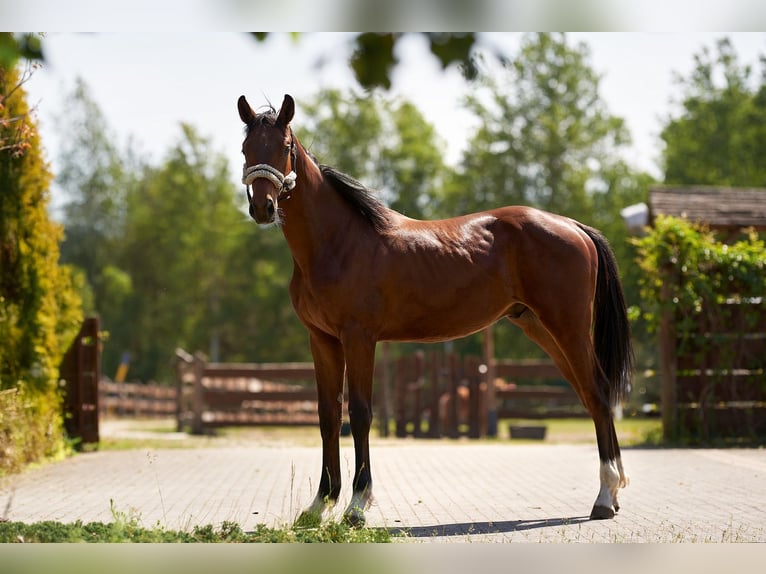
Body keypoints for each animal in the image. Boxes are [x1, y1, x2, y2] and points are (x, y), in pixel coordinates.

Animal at [237, 93, 632, 527]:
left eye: (285, 147)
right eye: (245, 149)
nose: (263, 207)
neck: (338, 243)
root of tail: (574, 226)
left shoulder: (359, 338)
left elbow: (360, 412)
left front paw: (357, 505)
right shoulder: (322, 340)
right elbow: (328, 416)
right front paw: (319, 504)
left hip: (568, 328)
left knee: (598, 393)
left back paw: (603, 497)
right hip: (542, 328)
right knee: (590, 396)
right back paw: (611, 496)